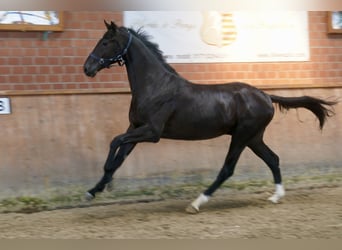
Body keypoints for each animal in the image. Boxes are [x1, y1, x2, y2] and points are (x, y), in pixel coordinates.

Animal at [83, 21, 336, 213]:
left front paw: (103, 185)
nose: (87, 68)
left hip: (242, 136)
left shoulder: (151, 132)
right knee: (273, 159)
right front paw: (94, 190)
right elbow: (119, 155)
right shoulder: (135, 127)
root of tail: (265, 95)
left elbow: (114, 142)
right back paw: (276, 197)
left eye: (105, 42)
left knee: (228, 169)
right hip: (253, 137)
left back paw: (196, 203)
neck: (155, 86)